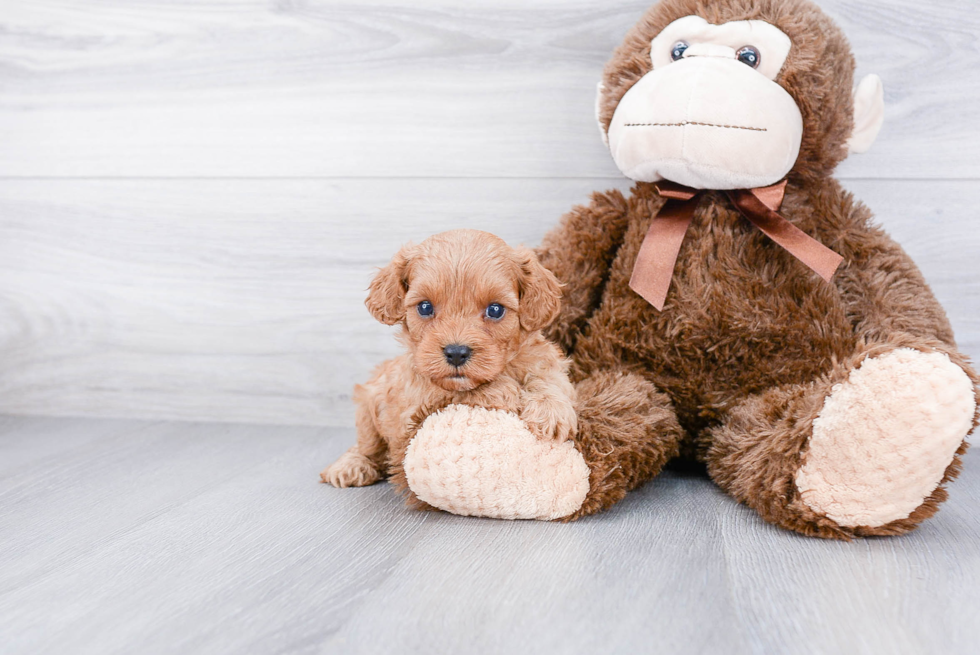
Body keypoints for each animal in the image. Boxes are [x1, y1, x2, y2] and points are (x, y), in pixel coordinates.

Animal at [322, 228, 576, 500]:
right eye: (425, 307)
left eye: (495, 310)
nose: (456, 353)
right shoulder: (415, 404)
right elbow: (452, 393)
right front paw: (505, 390)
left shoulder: (542, 357)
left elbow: (549, 376)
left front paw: (551, 411)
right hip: (368, 404)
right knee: (367, 446)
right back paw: (350, 465)